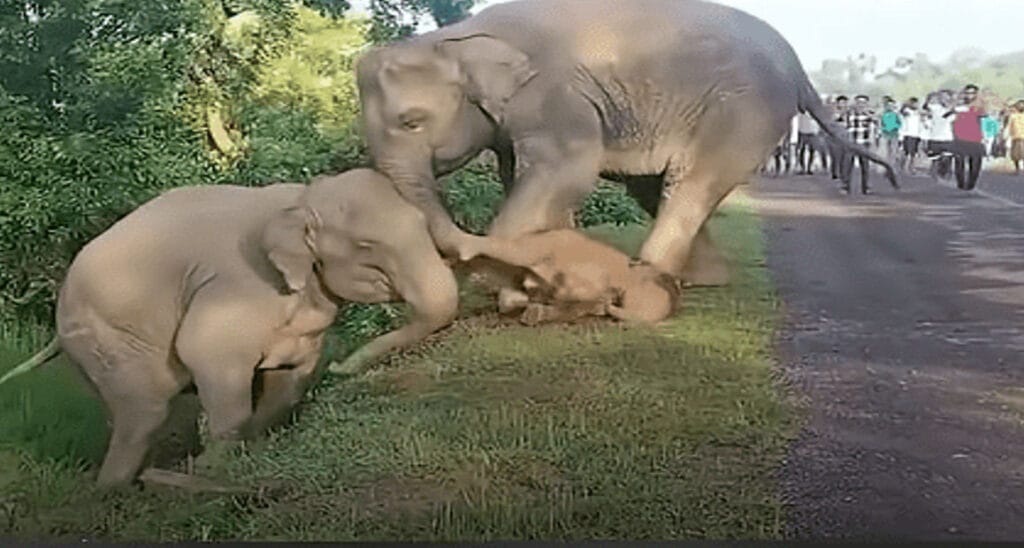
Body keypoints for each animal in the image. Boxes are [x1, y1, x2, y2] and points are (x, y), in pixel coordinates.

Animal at [0, 169, 458, 489]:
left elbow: (289, 381)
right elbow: (206, 354)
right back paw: (117, 490)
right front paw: (209, 469)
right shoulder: (238, 285)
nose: (342, 367)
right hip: (107, 337)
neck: (301, 198)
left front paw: (252, 452)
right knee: (144, 413)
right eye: (367, 247)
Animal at [354, 0, 898, 311]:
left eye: (411, 121)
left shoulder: (554, 95)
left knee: (689, 184)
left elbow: (567, 170)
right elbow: (526, 176)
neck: (455, 36)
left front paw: (513, 292)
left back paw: (646, 288)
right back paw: (698, 281)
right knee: (656, 187)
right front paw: (536, 284)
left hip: (747, 110)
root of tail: (797, 64)